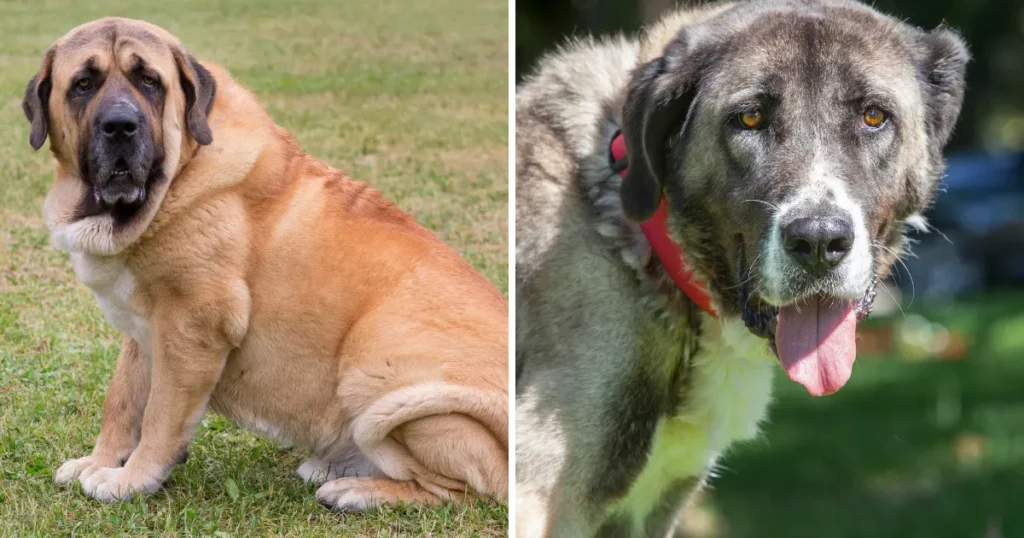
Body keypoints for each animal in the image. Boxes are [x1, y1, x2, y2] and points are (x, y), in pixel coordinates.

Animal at [22, 16, 505, 508]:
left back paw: (356, 490)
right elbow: (121, 398)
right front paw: (100, 461)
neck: (179, 173)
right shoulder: (143, 329)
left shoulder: (191, 326)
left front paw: (131, 480)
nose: (120, 126)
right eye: (83, 84)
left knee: (467, 487)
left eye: (149, 81)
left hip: (378, 373)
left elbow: (160, 414)